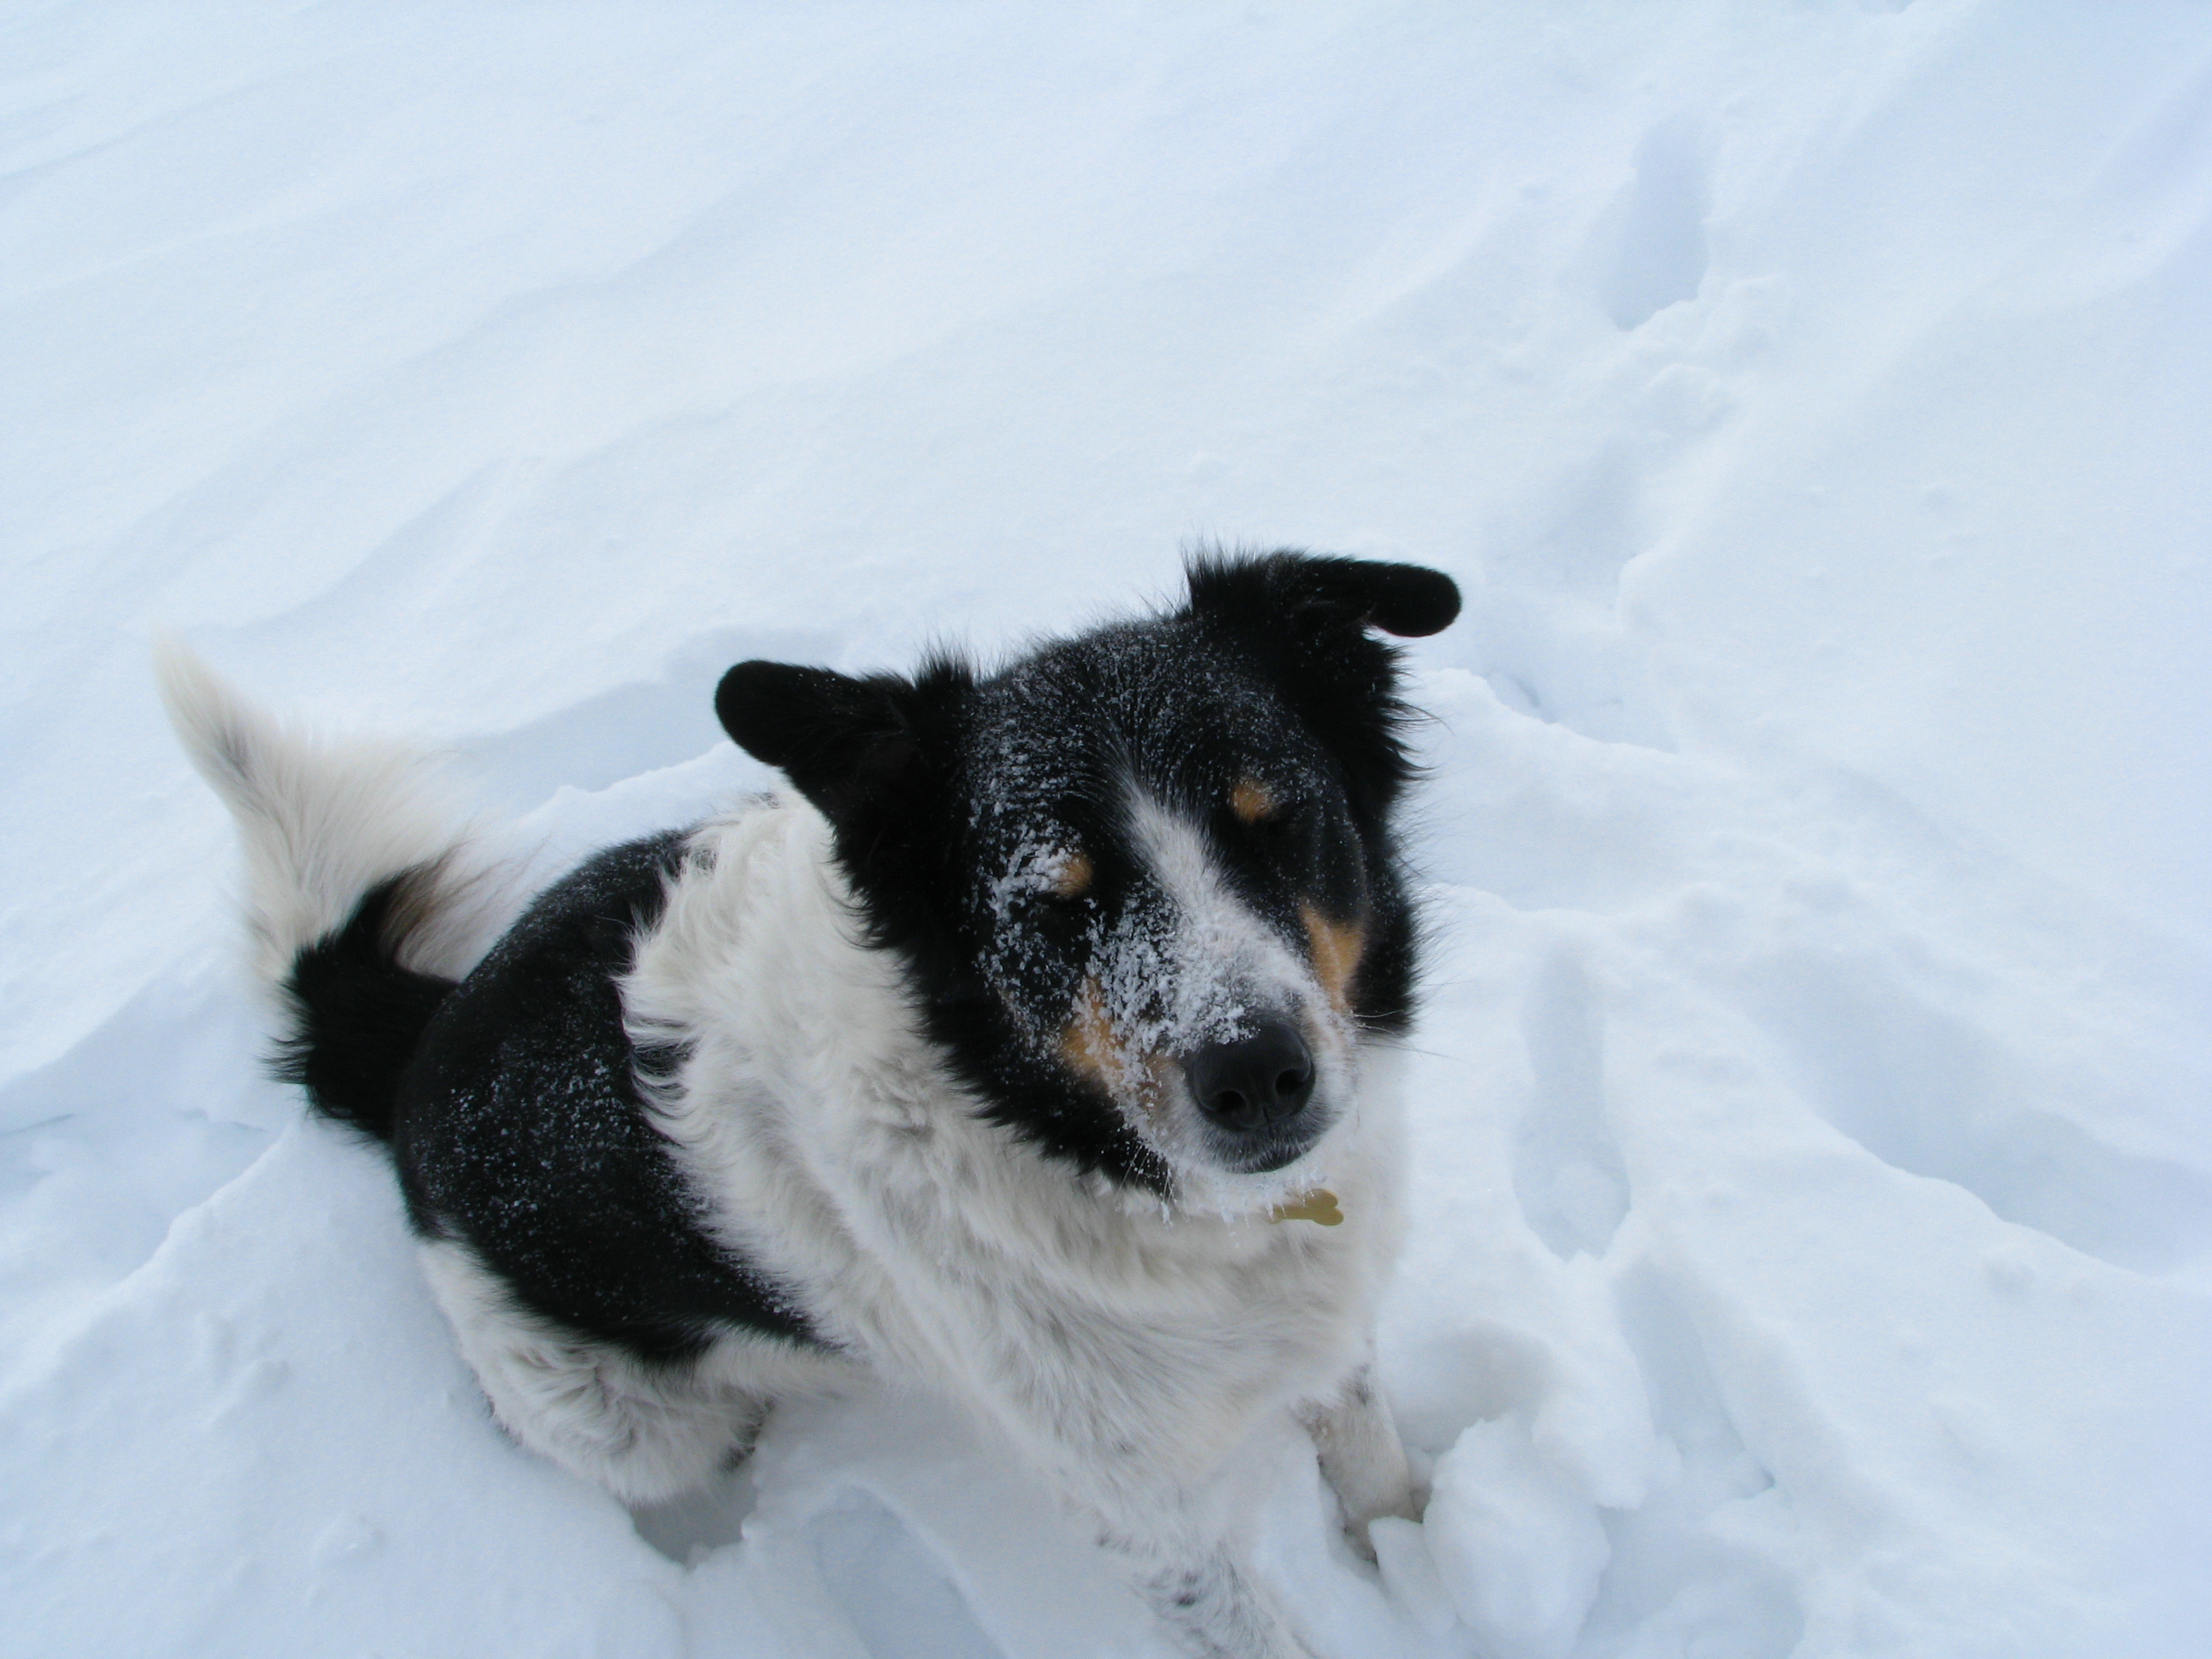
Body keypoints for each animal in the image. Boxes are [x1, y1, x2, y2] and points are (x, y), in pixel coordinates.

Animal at [159, 551, 1460, 1658]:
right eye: (1054, 902)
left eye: (1275, 820)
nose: (1259, 1078)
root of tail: (416, 1047)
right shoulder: (1136, 1503)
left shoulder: (1319, 1329)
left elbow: (1371, 1459)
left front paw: (1414, 1562)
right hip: (618, 1422)